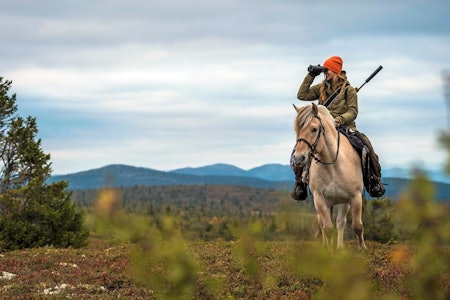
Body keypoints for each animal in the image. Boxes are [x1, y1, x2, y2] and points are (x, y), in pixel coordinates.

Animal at [294, 103, 368, 251]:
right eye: (297, 130)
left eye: (314, 129)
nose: (298, 158)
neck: (333, 164)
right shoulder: (319, 199)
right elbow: (327, 228)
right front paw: (329, 251)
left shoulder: (354, 198)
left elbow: (357, 225)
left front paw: (362, 248)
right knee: (323, 224)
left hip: (343, 202)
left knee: (340, 222)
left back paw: (340, 247)